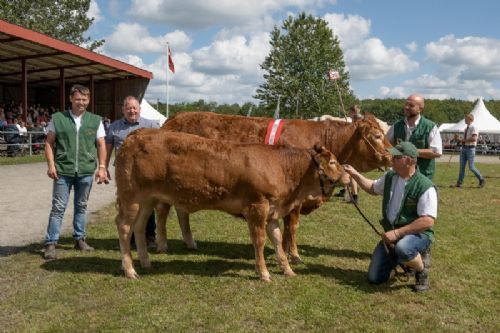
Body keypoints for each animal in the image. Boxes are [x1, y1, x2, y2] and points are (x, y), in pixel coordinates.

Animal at [114, 128, 348, 278]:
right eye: (333, 161)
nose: (347, 175)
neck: (283, 168)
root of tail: (136, 134)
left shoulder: (271, 211)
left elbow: (277, 239)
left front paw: (288, 269)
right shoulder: (257, 207)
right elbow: (260, 241)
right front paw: (264, 273)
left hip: (148, 200)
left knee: (139, 227)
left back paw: (145, 262)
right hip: (131, 197)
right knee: (124, 227)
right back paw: (130, 270)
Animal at [158, 111, 392, 262]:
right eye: (377, 136)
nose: (393, 155)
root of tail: (172, 119)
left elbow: (287, 228)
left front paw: (286, 251)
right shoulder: (296, 197)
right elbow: (293, 226)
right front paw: (294, 255)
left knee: (181, 212)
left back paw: (190, 242)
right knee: (162, 211)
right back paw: (161, 244)